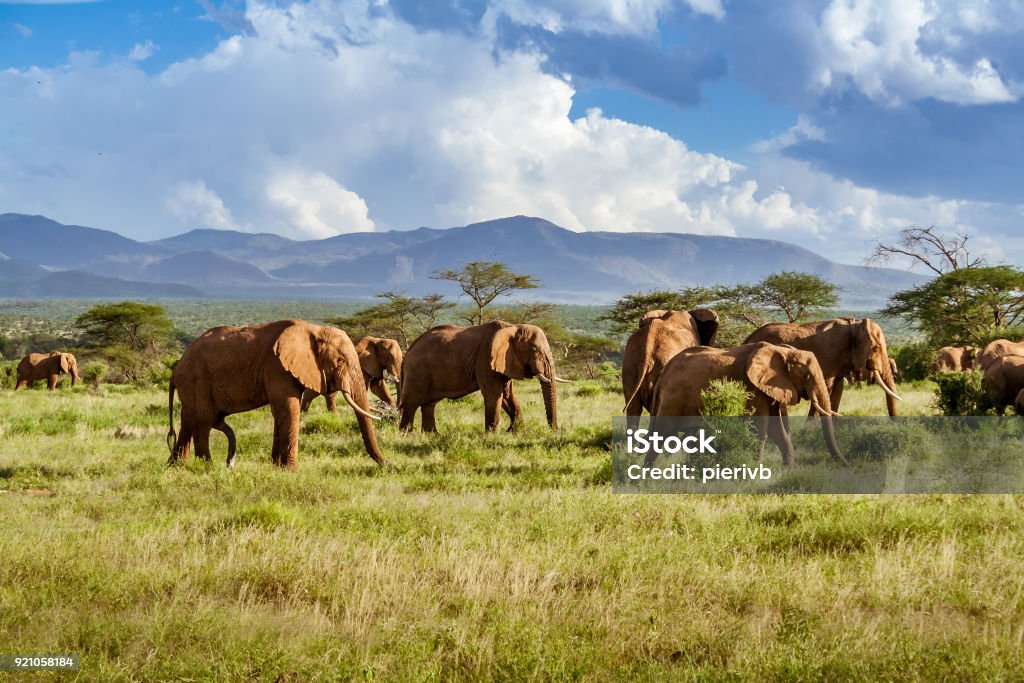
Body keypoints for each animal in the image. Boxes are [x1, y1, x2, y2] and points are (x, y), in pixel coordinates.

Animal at [167, 321, 385, 471]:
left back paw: (176, 466)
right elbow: (289, 410)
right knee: (203, 421)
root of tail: (177, 367)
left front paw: (277, 467)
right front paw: (291, 471)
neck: (313, 329)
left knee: (189, 420)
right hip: (196, 380)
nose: (387, 464)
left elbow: (280, 413)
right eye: (340, 361)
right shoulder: (277, 367)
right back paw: (206, 467)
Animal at [397, 321, 569, 432]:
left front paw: (515, 432)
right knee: (411, 404)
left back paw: (432, 436)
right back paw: (407, 435)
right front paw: (492, 435)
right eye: (533, 348)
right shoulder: (485, 359)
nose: (555, 430)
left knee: (428, 405)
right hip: (417, 373)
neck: (513, 327)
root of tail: (407, 353)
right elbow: (494, 394)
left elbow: (507, 395)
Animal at [651, 344, 843, 466]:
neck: (782, 351)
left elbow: (777, 431)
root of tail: (663, 375)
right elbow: (759, 428)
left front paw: (791, 469)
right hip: (673, 398)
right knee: (662, 433)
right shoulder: (752, 387)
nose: (845, 464)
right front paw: (754, 471)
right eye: (807, 376)